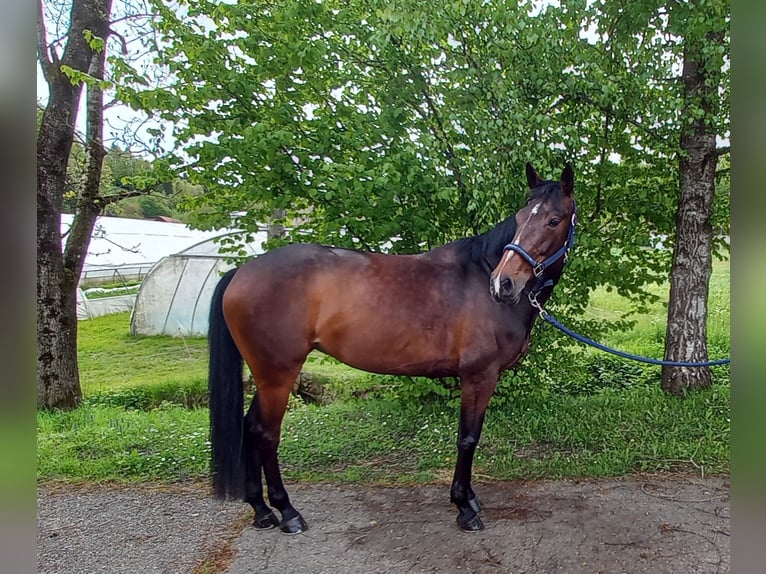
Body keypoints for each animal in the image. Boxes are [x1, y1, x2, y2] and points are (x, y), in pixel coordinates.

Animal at [210, 162, 576, 536]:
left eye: (553, 219)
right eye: (520, 218)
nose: (504, 283)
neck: (479, 275)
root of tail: (242, 271)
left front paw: (470, 499)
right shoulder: (478, 376)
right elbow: (468, 438)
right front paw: (464, 507)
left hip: (269, 376)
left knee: (250, 426)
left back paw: (261, 509)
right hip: (278, 375)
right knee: (266, 434)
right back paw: (287, 512)